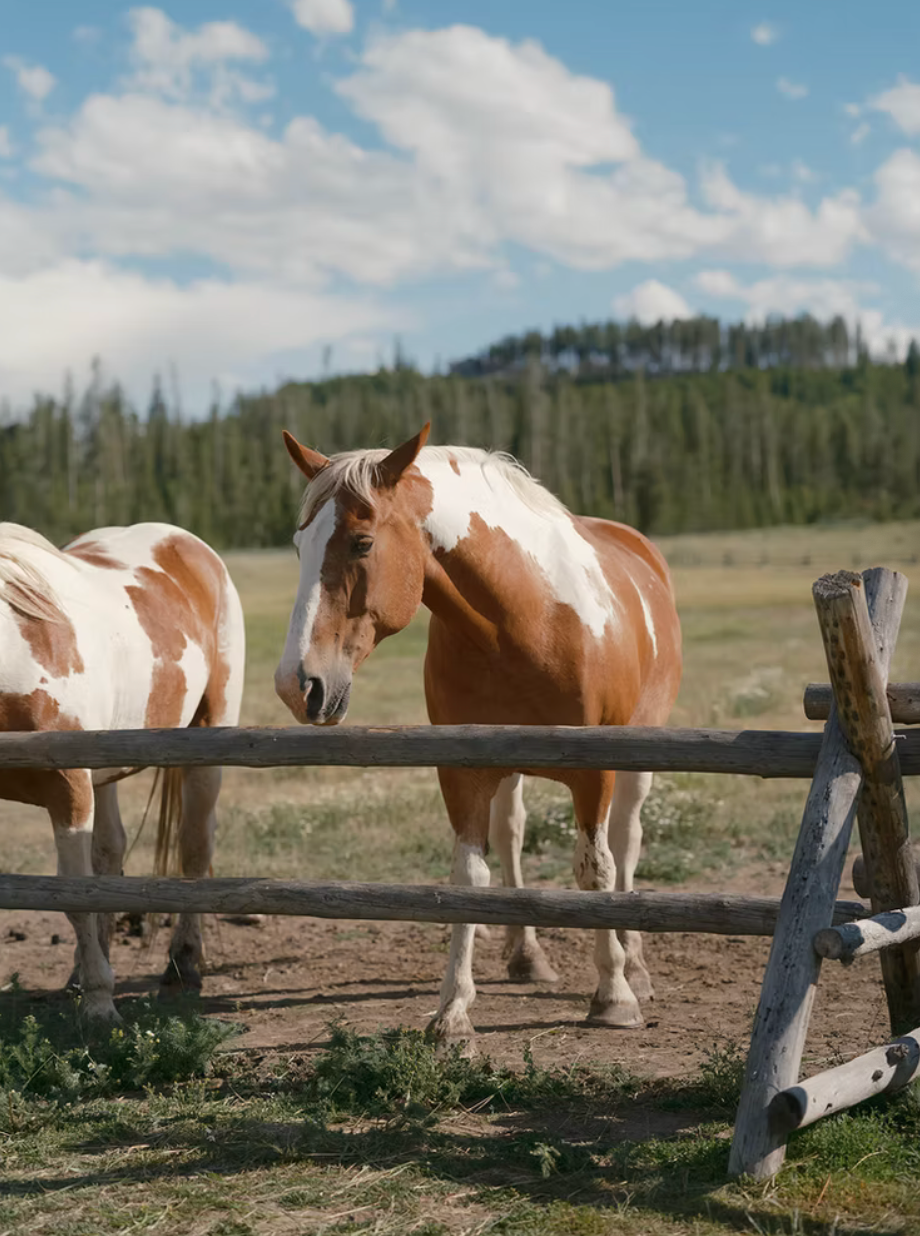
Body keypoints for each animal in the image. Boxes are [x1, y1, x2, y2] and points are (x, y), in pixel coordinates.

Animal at [0, 521, 245, 1022]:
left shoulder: (70, 791)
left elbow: (75, 900)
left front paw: (99, 1003)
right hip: (105, 770)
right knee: (110, 856)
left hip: (207, 745)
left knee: (195, 847)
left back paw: (183, 967)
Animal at [274, 425, 682, 1048]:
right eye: (300, 547)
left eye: (362, 544)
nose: (297, 686)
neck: (527, 619)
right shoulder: (463, 768)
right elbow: (471, 875)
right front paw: (453, 1013)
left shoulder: (596, 771)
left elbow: (596, 867)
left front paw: (614, 996)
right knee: (512, 834)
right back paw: (525, 956)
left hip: (640, 757)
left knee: (627, 841)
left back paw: (634, 963)